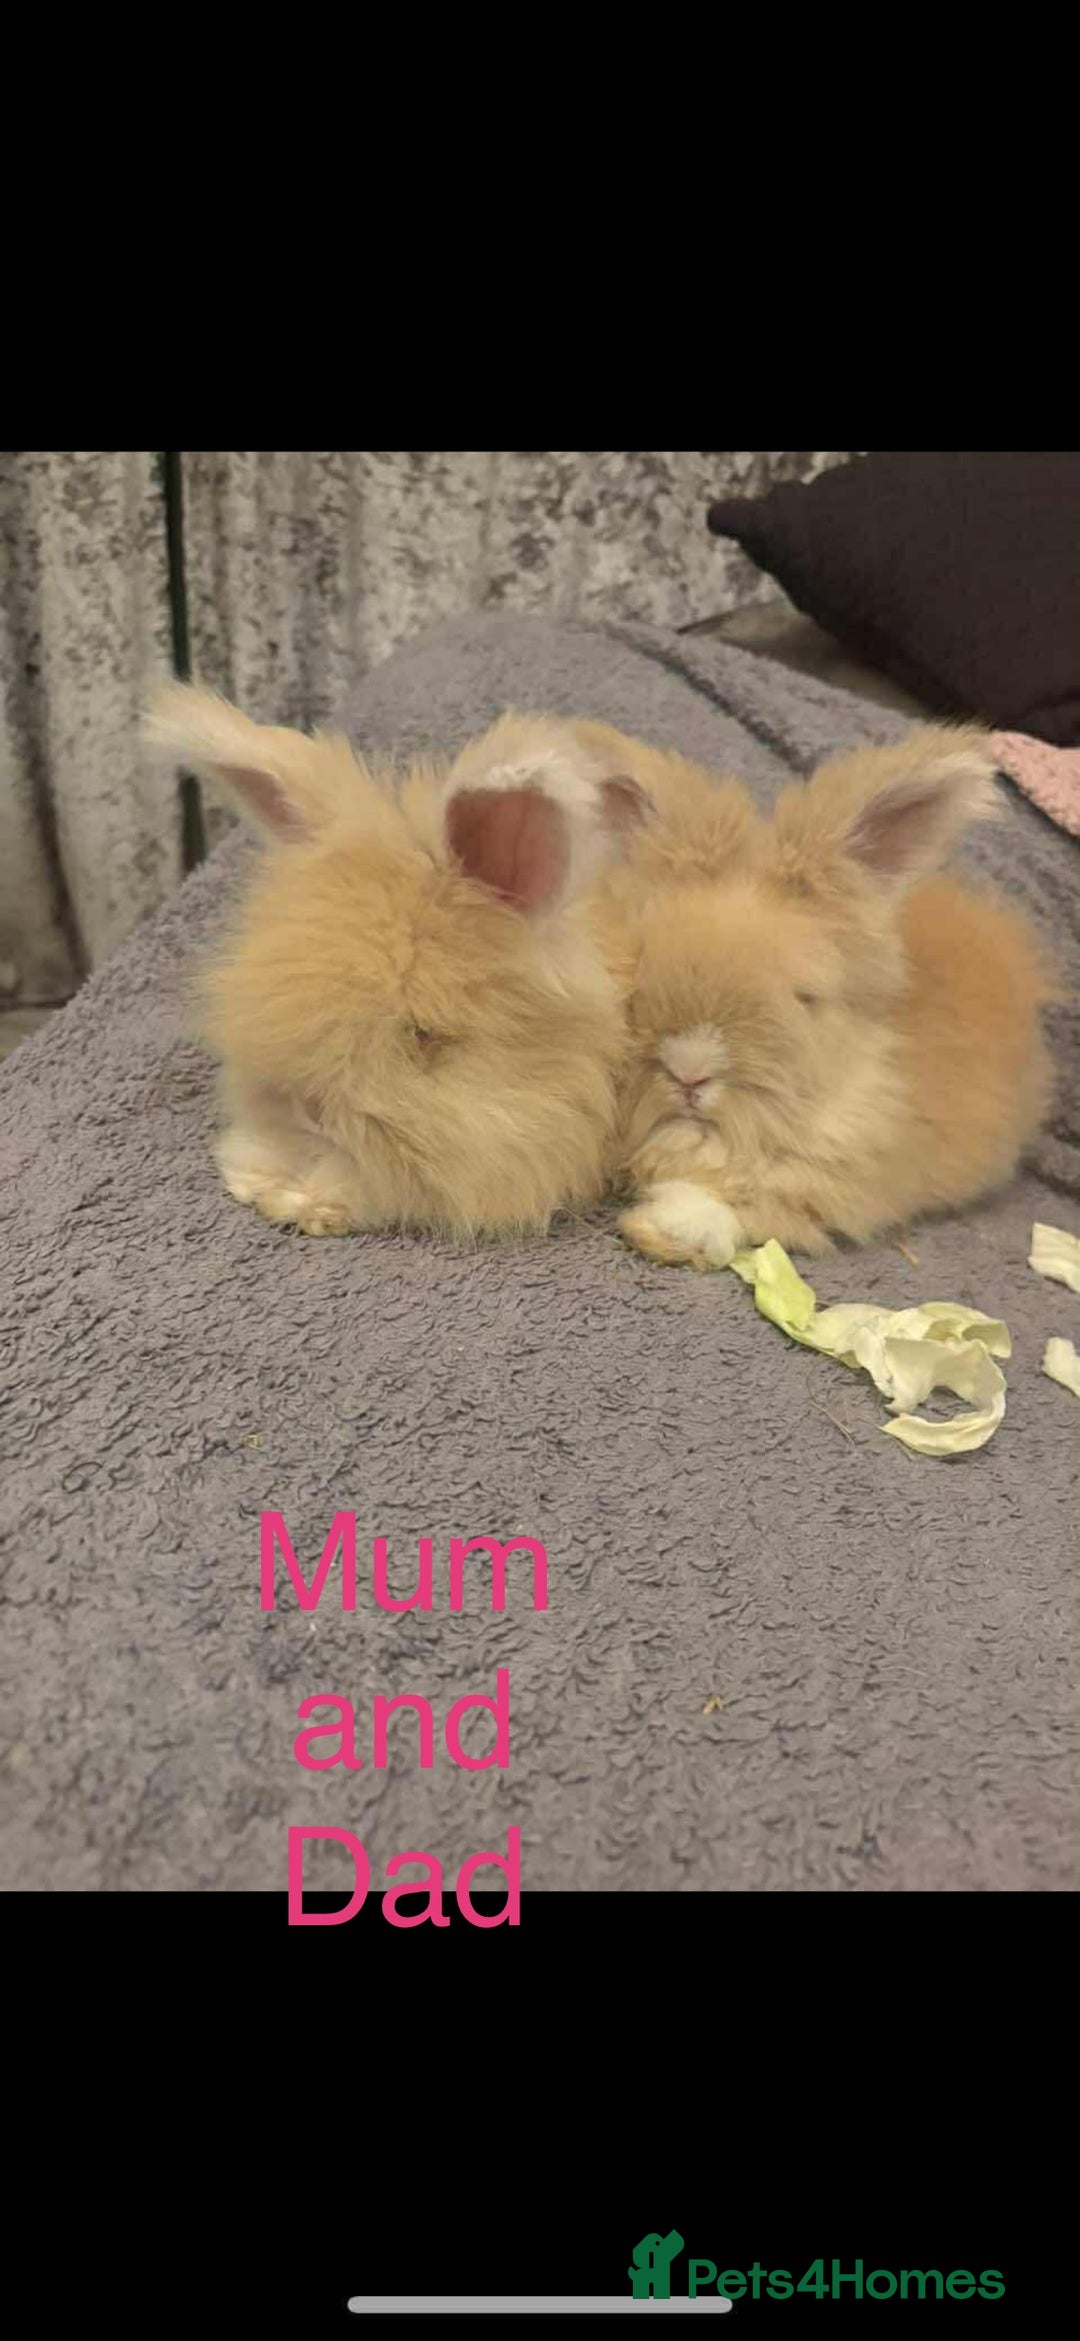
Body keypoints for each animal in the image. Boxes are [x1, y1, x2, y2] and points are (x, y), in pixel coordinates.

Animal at [611, 725, 1061, 1269]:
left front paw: (662, 1229)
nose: (689, 1071)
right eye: (643, 965)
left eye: (804, 996)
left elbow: (745, 1204)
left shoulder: (837, 1185)